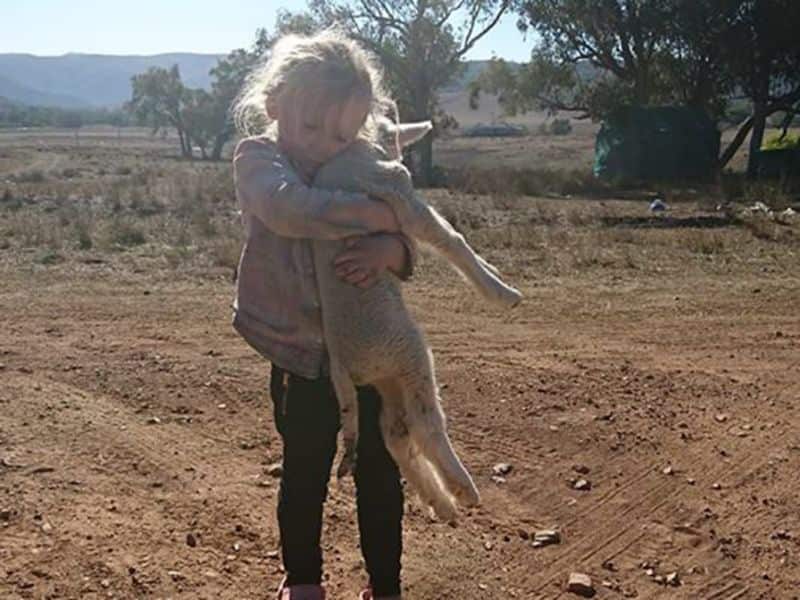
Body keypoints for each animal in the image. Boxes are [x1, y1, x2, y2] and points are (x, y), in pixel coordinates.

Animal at [311, 121, 522, 521]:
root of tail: (342, 365)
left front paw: (493, 271)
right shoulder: (399, 194)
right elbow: (450, 239)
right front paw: (501, 291)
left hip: (388, 378)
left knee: (395, 434)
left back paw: (442, 503)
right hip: (407, 354)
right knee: (425, 425)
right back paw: (462, 489)